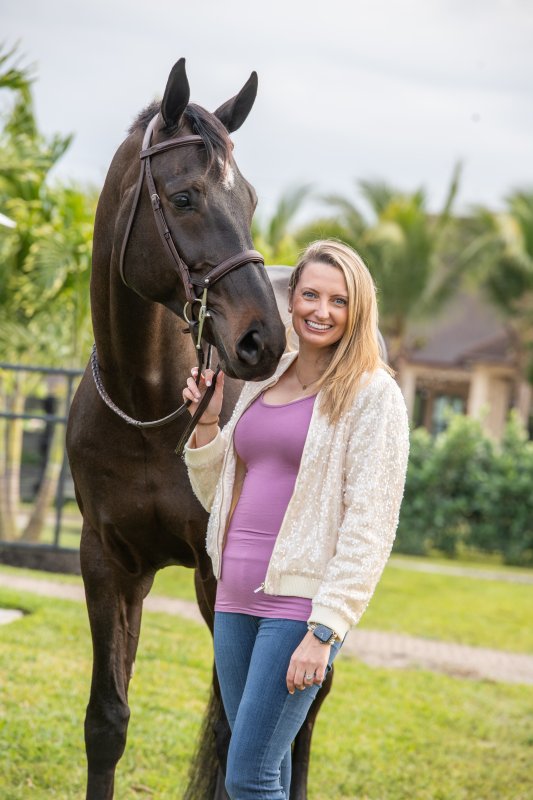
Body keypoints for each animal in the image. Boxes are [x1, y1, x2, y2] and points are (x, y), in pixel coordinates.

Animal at [66, 59, 334, 800]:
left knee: (299, 717)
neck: (147, 405)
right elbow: (106, 721)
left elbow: (244, 727)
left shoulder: (219, 577)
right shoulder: (109, 565)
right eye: (184, 197)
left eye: (248, 200)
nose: (262, 341)